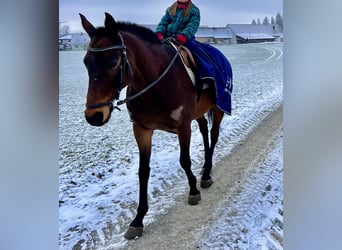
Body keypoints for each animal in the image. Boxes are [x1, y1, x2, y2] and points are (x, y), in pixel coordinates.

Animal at [79, 12, 230, 239]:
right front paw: (138, 218)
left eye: (113, 61)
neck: (156, 85)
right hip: (199, 113)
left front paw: (193, 190)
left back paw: (206, 174)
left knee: (213, 134)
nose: (94, 116)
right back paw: (205, 167)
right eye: (86, 62)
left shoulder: (183, 126)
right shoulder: (142, 129)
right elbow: (143, 171)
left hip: (219, 107)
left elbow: (184, 160)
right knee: (204, 130)